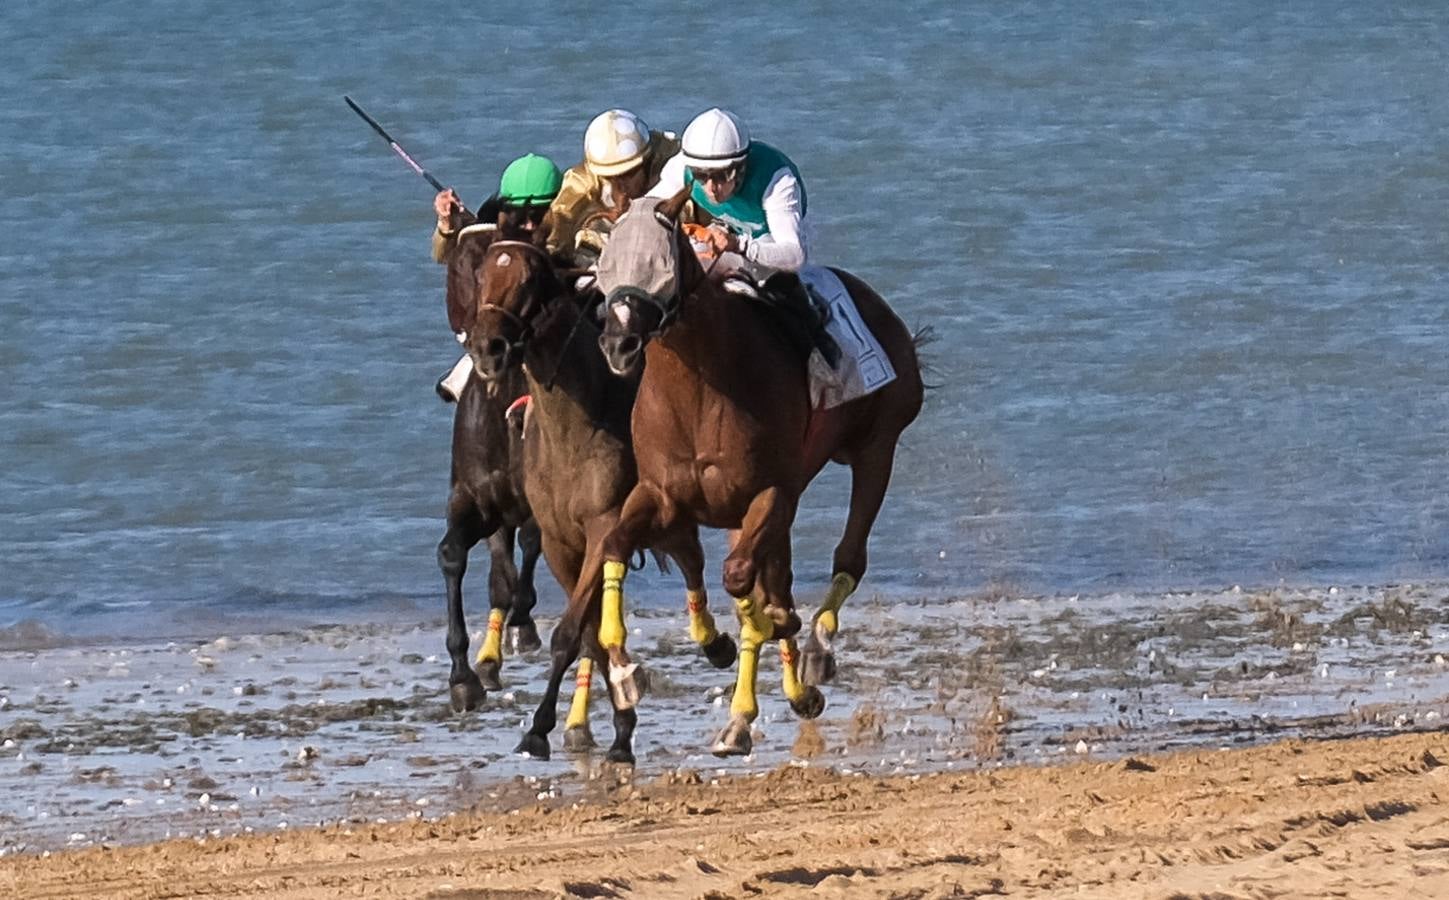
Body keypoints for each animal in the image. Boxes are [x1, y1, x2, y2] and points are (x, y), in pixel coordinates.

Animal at [457, 231, 741, 759]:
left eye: (530, 279)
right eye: (482, 274)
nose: (488, 347)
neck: (573, 431)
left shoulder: (605, 526)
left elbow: (570, 633)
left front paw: (540, 728)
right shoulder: (558, 542)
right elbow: (588, 633)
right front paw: (619, 726)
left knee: (692, 563)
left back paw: (716, 644)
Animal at [582, 192, 921, 753]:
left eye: (662, 264)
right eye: (604, 267)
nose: (618, 346)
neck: (700, 393)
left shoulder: (772, 492)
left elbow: (744, 582)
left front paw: (772, 638)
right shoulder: (661, 494)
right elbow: (616, 545)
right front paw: (628, 669)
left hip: (878, 447)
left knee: (847, 556)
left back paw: (815, 649)